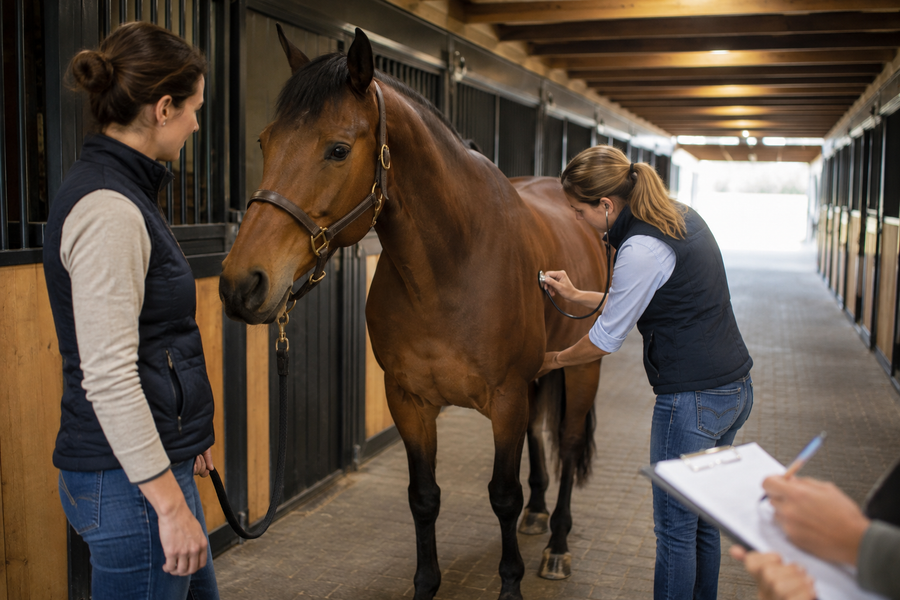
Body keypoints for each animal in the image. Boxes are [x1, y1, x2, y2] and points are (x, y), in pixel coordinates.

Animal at [219, 26, 609, 600]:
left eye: (338, 150)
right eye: (265, 142)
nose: (240, 284)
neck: (453, 268)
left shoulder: (507, 401)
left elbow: (502, 495)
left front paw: (510, 583)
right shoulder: (409, 401)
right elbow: (423, 496)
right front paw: (427, 584)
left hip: (582, 371)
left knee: (569, 441)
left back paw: (557, 544)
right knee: (543, 441)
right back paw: (539, 516)